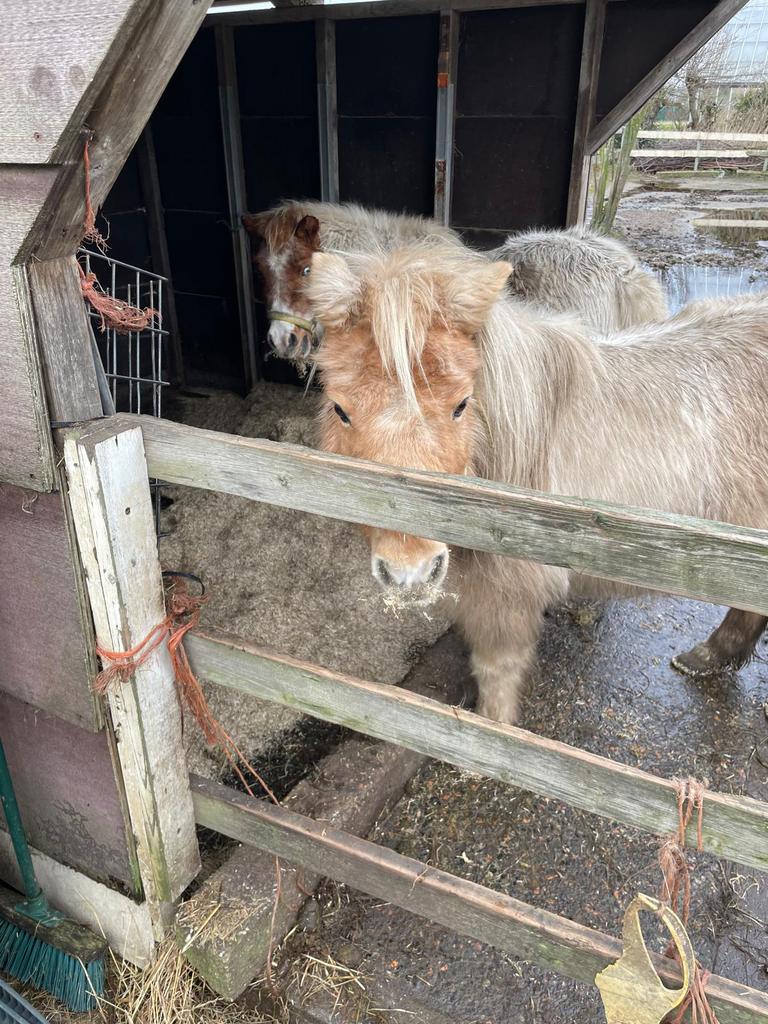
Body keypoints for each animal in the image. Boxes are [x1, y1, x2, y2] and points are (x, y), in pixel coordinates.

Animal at [306, 241, 768, 724]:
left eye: (461, 405)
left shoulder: (505, 597)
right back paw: (708, 658)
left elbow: (496, 676)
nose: (409, 573)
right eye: (340, 409)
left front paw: (491, 730)